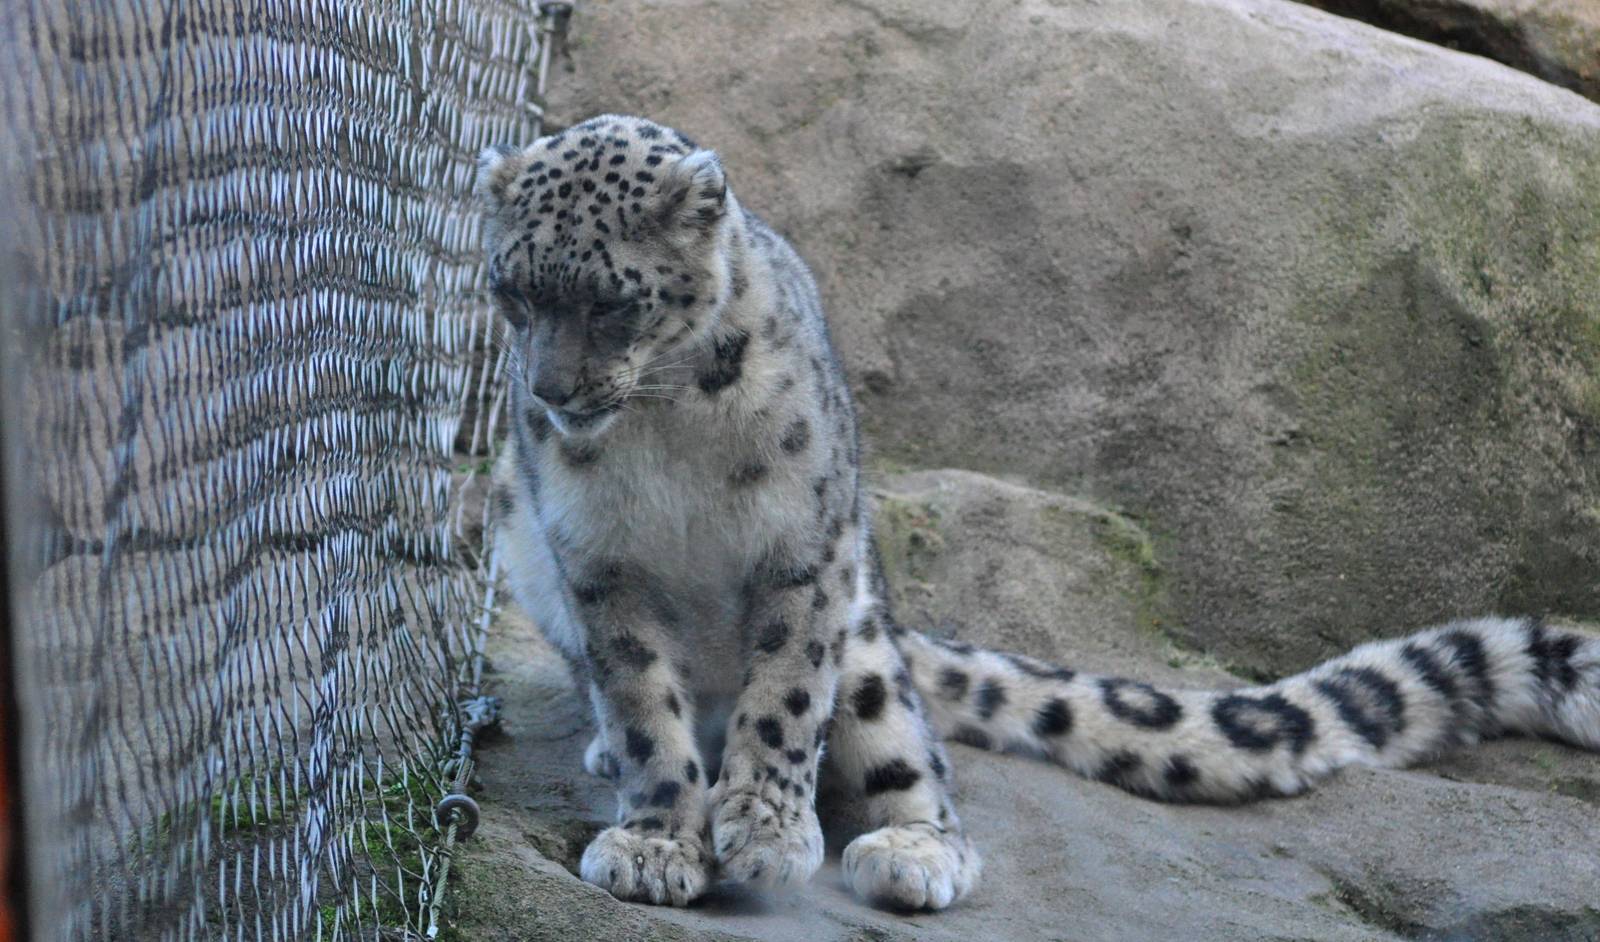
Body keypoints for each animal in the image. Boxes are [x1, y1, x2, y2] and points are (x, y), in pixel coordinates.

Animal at [476, 114, 1600, 911]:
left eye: (611, 301)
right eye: (514, 294)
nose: (552, 391)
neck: (663, 432)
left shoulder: (805, 549)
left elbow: (786, 697)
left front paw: (762, 829)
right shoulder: (599, 566)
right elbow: (643, 707)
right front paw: (657, 840)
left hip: (867, 639)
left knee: (910, 756)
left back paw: (913, 853)